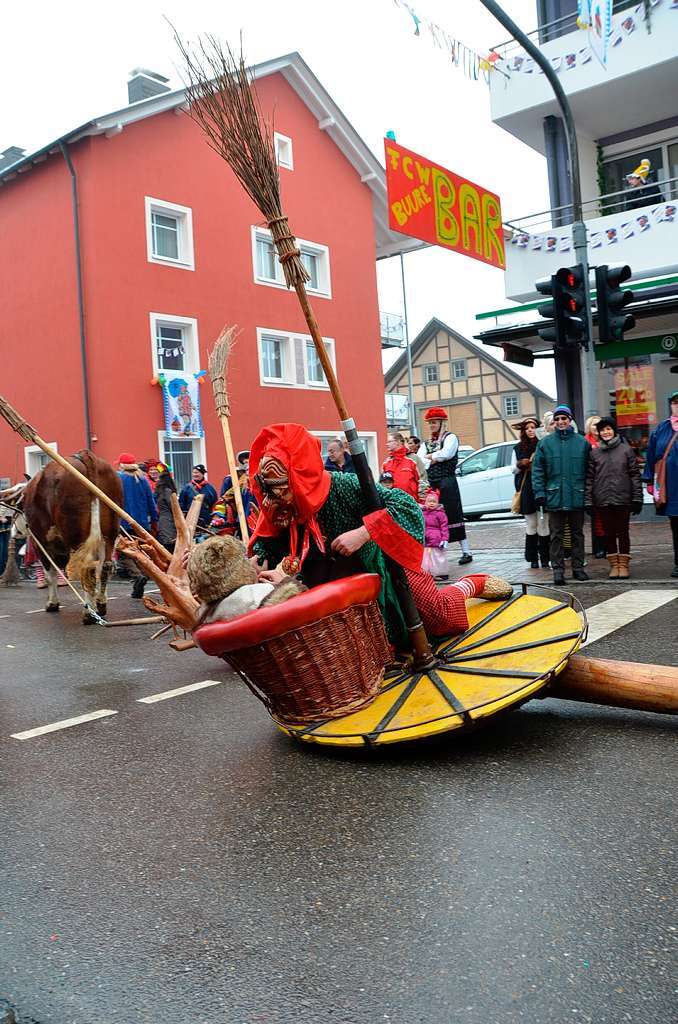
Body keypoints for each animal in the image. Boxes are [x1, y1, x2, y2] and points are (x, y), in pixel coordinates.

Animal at [23, 450, 123, 622]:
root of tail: (86, 455)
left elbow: (50, 573)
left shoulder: (40, 543)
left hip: (76, 535)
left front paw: (52, 603)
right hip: (109, 532)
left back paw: (88, 614)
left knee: (87, 567)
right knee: (105, 566)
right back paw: (101, 605)